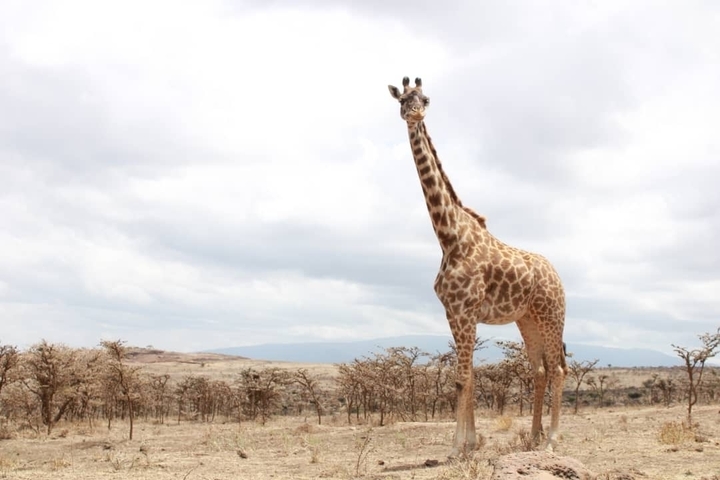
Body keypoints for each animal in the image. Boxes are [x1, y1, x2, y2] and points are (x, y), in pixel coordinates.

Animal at [387, 76, 568, 457]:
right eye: (402, 100)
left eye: (425, 98)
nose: (414, 113)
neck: (448, 237)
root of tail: (557, 275)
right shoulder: (453, 312)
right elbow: (467, 376)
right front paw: (470, 443)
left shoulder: (466, 311)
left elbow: (462, 378)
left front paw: (458, 447)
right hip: (526, 320)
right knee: (540, 370)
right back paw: (533, 437)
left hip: (551, 315)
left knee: (558, 369)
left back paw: (551, 441)